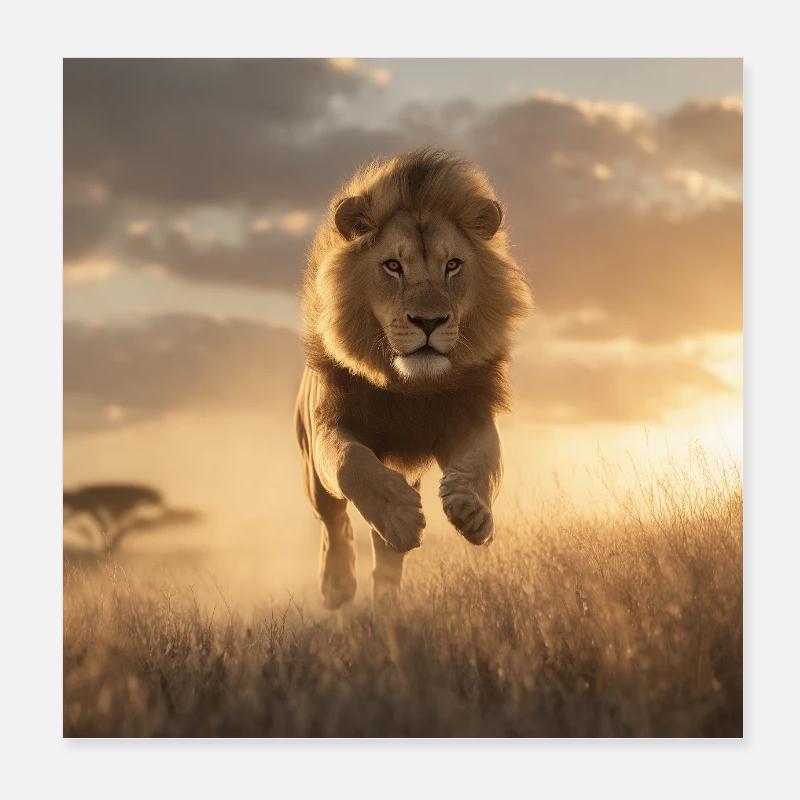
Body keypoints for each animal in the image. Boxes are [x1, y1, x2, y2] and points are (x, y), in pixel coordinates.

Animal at [295, 149, 532, 610]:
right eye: (393, 266)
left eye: (453, 265)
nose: (429, 321)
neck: (409, 387)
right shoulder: (329, 426)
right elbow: (351, 463)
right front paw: (401, 517)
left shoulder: (469, 417)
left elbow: (485, 462)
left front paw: (472, 511)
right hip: (310, 465)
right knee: (333, 520)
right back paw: (339, 583)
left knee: (385, 554)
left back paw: (387, 599)